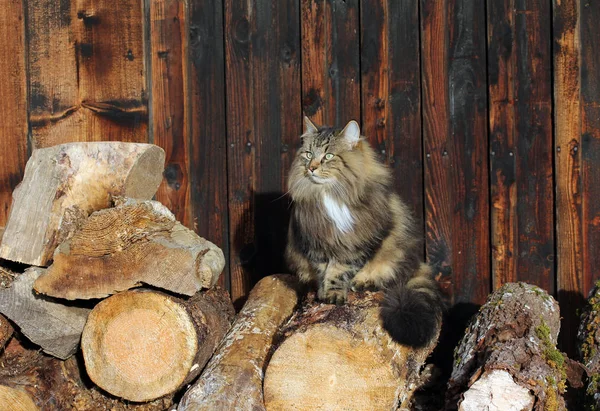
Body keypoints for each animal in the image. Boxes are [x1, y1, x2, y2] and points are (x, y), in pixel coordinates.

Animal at [286, 116, 446, 348]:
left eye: (328, 156)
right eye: (308, 154)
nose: (312, 168)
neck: (329, 193)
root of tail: (417, 263)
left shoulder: (356, 244)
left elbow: (339, 271)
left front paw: (334, 294)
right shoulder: (315, 243)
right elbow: (323, 270)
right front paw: (324, 292)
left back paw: (363, 282)